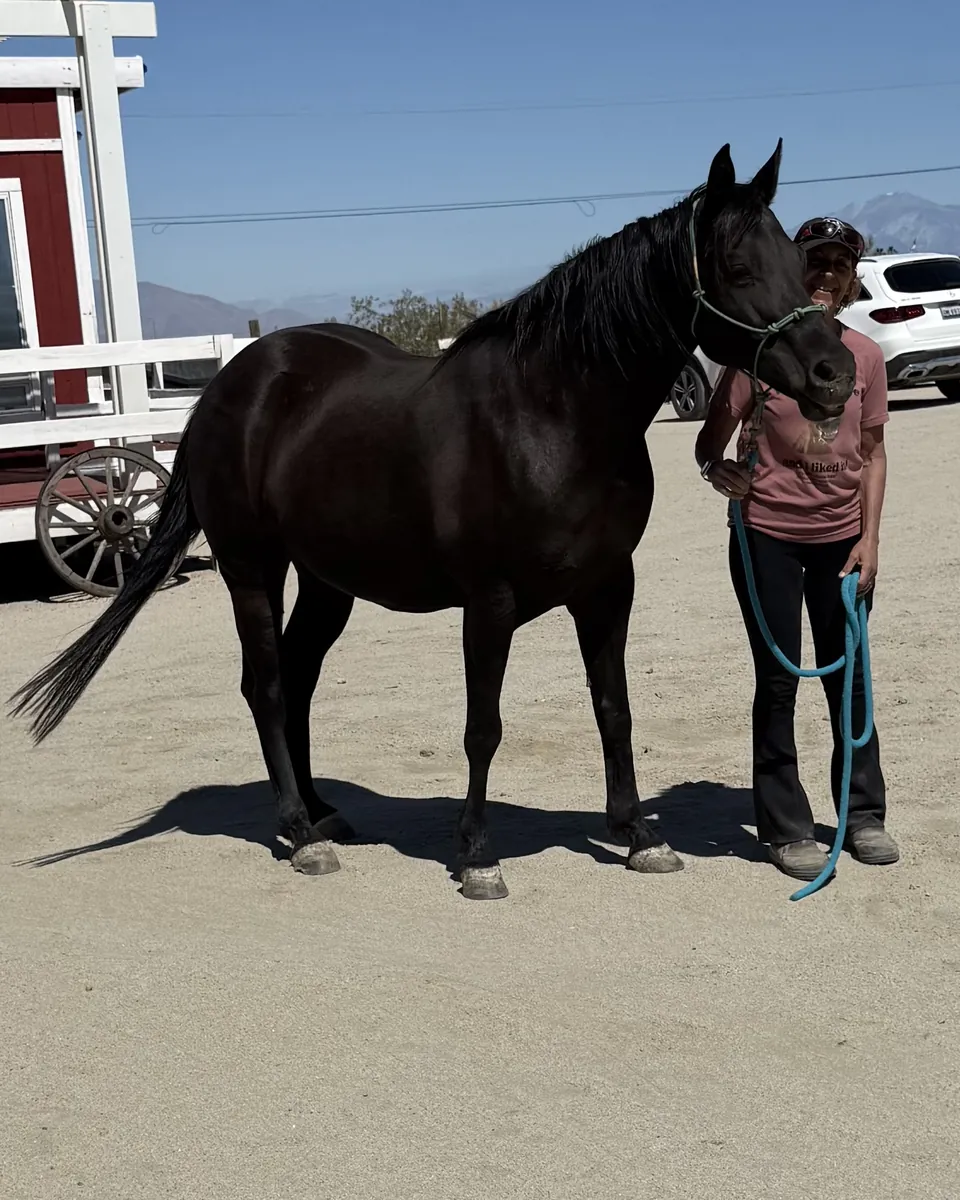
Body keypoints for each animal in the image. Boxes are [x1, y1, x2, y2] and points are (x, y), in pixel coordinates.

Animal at [11, 141, 856, 900]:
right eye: (738, 269)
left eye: (795, 262)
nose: (835, 374)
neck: (554, 414)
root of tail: (231, 384)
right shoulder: (490, 603)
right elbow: (484, 725)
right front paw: (478, 853)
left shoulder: (608, 587)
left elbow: (613, 709)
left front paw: (639, 836)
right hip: (252, 569)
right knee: (267, 685)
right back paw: (299, 832)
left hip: (327, 581)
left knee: (299, 677)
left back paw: (321, 813)